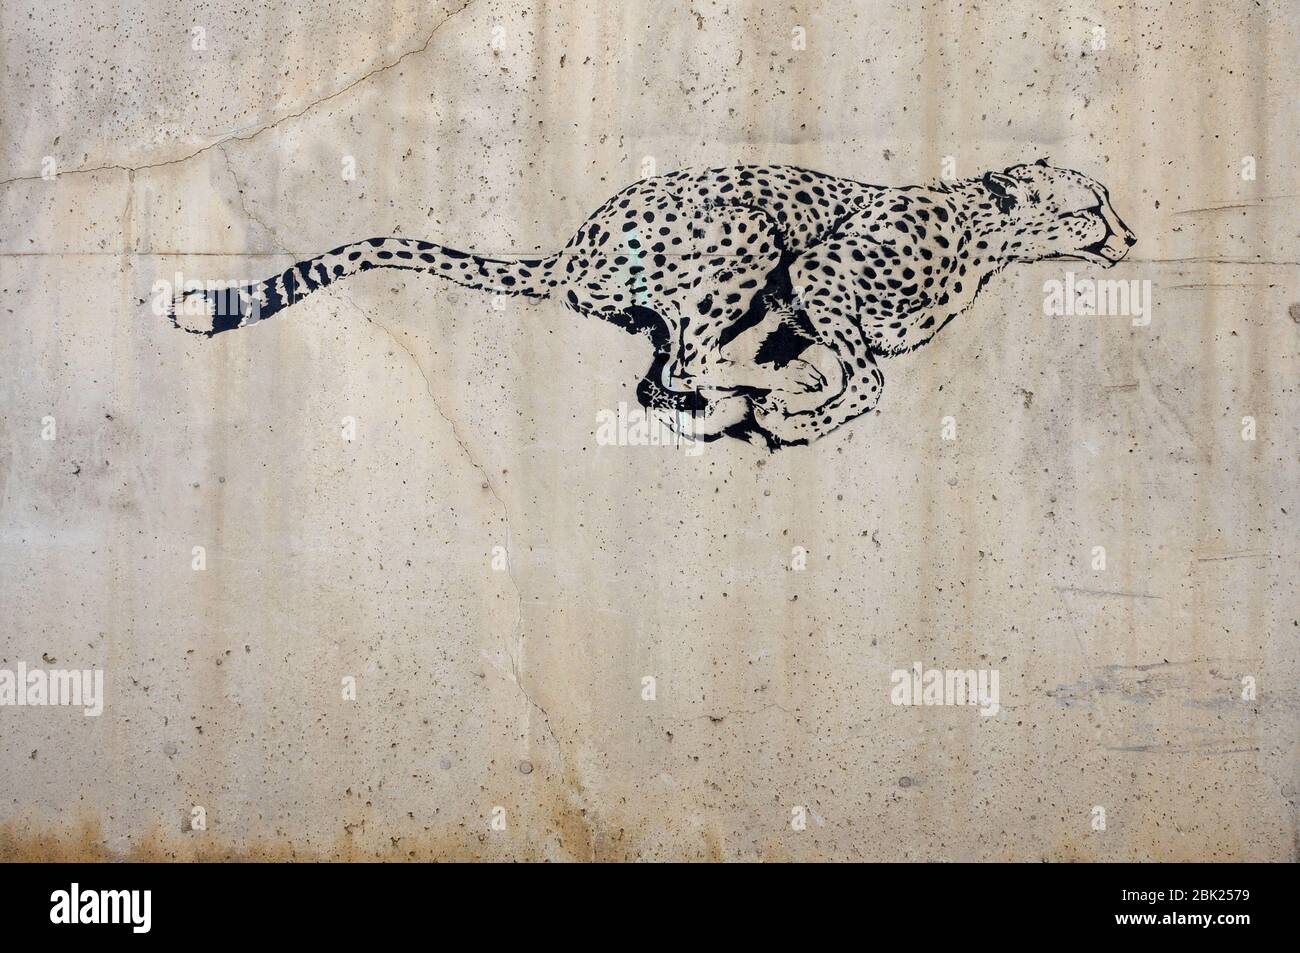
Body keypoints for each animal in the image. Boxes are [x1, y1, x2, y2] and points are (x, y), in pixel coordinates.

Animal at [169, 159, 1135, 448]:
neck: (983, 233)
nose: (1128, 238)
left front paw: (782, 399)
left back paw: (725, 405)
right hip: (751, 230)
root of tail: (575, 245)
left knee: (663, 371)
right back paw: (756, 397)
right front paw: (799, 413)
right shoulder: (818, 269)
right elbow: (865, 379)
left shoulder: (802, 306)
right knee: (692, 353)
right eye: (1090, 208)